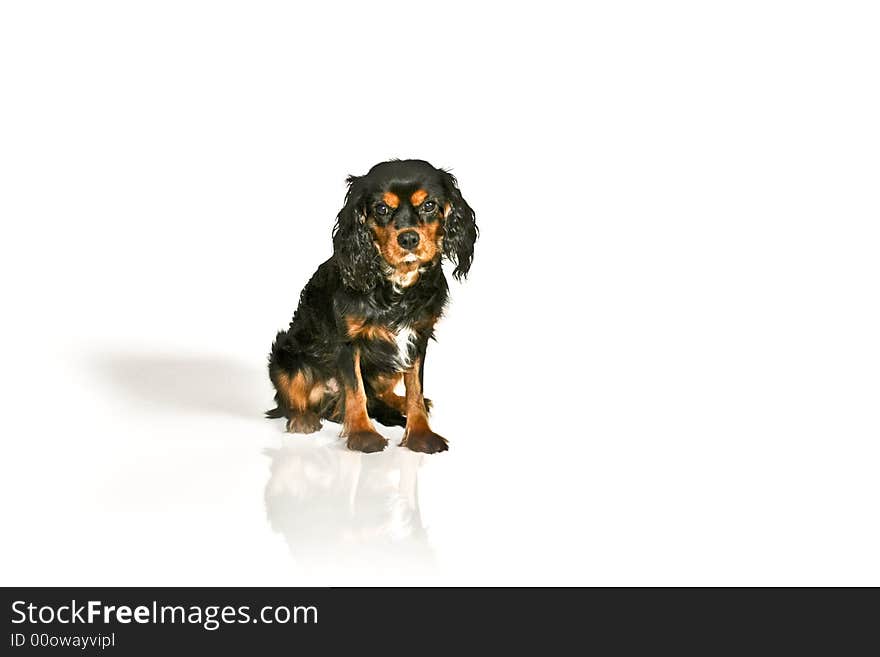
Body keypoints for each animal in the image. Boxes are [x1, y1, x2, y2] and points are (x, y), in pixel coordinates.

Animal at [266, 161, 478, 454]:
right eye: (382, 209)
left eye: (429, 205)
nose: (409, 238)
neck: (396, 284)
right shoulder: (348, 342)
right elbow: (356, 391)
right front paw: (363, 434)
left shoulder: (417, 338)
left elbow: (415, 388)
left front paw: (420, 433)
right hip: (285, 353)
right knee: (291, 400)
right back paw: (302, 418)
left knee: (382, 393)